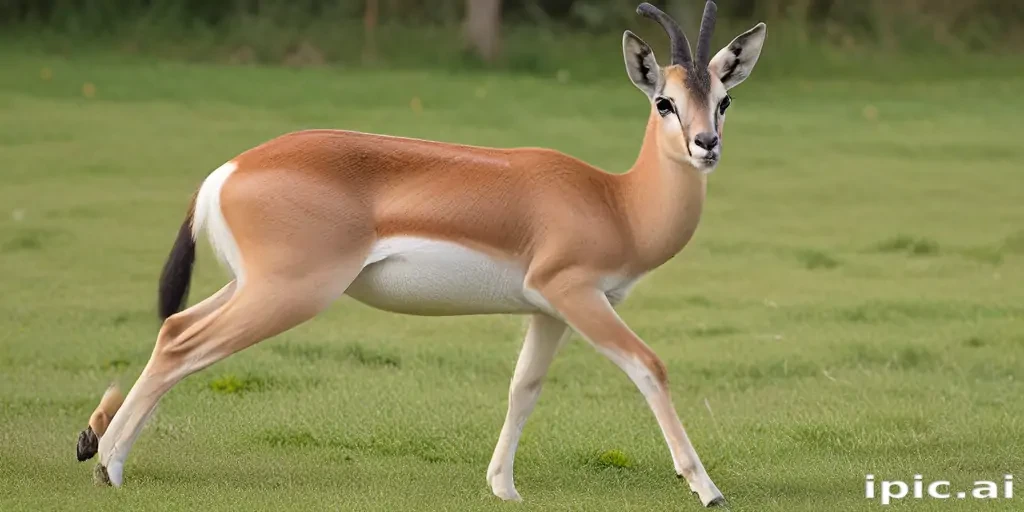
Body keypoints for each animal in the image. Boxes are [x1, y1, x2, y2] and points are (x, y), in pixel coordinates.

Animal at [76, 1, 766, 507]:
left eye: (723, 98)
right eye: (664, 101)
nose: (705, 144)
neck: (615, 201)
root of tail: (228, 169)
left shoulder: (549, 311)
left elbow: (524, 387)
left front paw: (503, 488)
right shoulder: (577, 294)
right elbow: (650, 366)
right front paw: (707, 488)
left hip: (255, 286)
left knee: (174, 326)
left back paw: (96, 445)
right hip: (289, 294)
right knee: (184, 346)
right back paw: (109, 467)